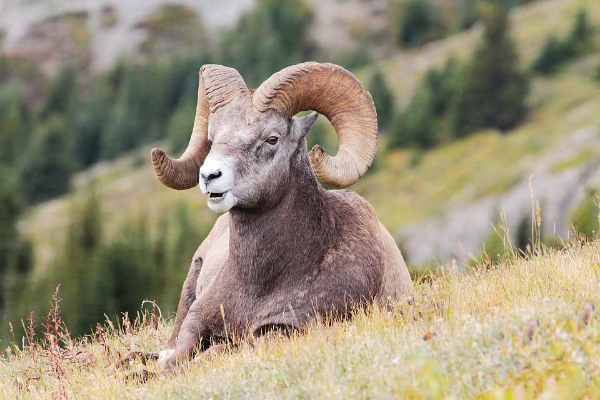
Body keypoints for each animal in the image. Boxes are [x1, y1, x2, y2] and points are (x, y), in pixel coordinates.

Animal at [148, 61, 414, 370]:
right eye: (212, 139)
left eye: (272, 139)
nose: (209, 176)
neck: (258, 284)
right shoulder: (196, 320)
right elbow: (174, 358)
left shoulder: (282, 330)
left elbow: (219, 351)